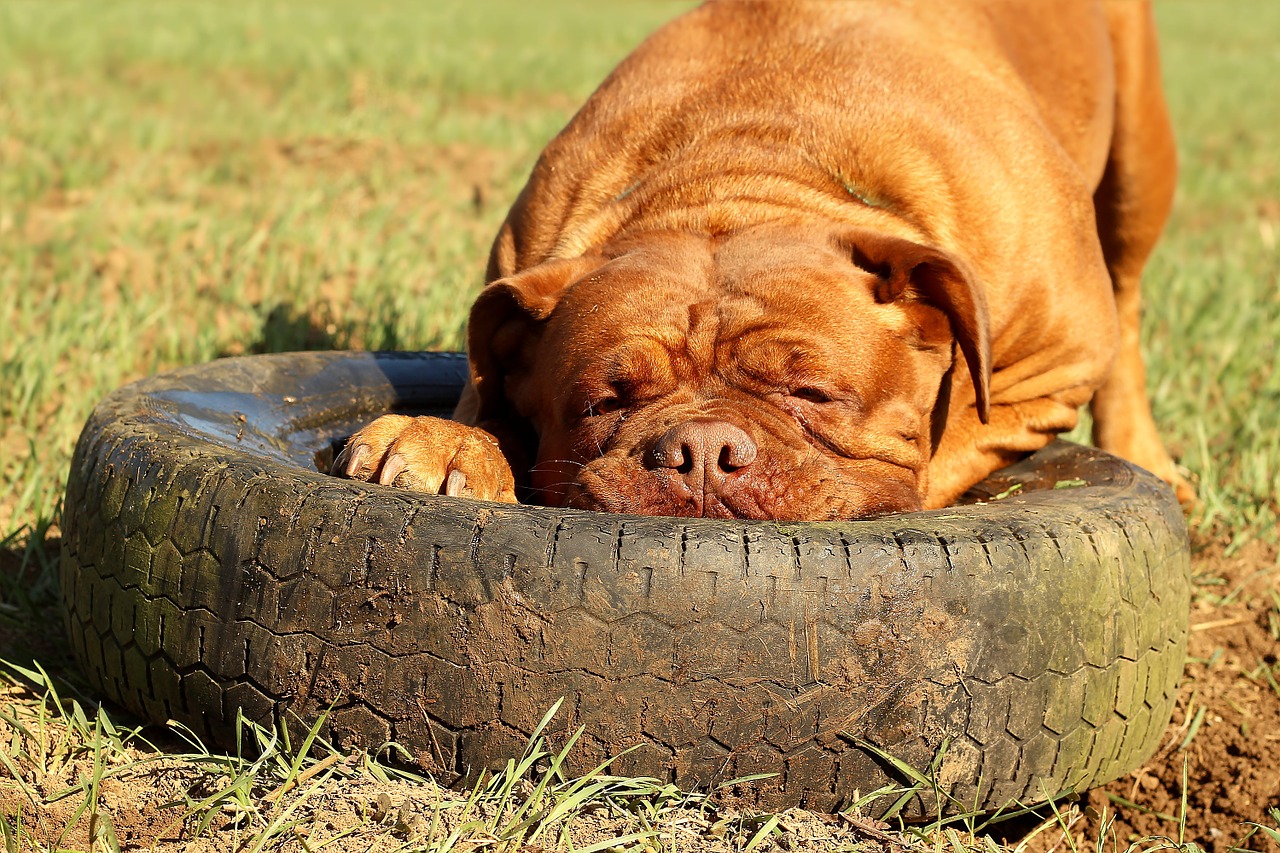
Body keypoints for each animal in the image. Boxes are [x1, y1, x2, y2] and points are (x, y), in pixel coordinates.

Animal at [332, 0, 1187, 522]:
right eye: (602, 402)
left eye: (813, 393)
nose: (702, 450)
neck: (746, 167)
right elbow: (482, 399)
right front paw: (452, 444)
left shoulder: (1049, 368)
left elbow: (939, 452)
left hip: (1141, 157)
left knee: (1129, 291)